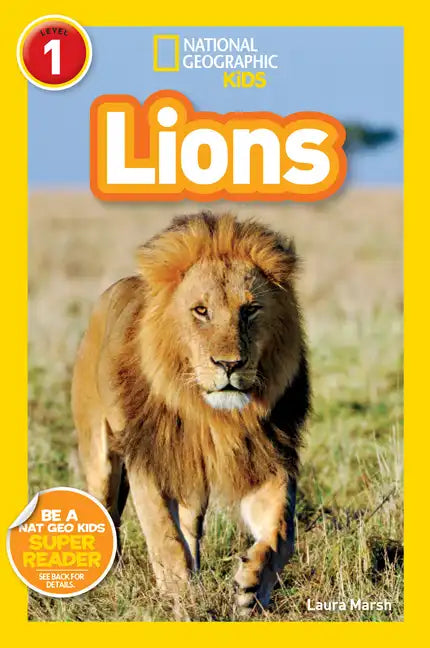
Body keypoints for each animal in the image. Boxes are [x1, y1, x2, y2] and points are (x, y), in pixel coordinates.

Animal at [72, 211, 310, 614]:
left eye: (250, 310)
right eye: (201, 311)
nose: (229, 364)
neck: (211, 415)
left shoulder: (266, 457)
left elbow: (281, 531)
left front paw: (253, 586)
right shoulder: (149, 460)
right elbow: (164, 536)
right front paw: (181, 599)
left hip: (193, 481)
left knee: (190, 526)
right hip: (100, 456)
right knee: (107, 505)